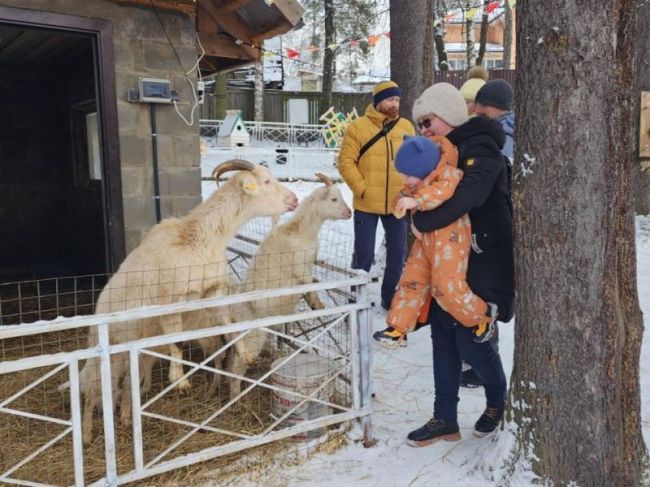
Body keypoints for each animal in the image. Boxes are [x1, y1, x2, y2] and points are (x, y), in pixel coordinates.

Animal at [78, 160, 296, 446]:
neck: (200, 239)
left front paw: (246, 355)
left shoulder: (213, 293)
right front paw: (179, 381)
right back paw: (86, 434)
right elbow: (178, 342)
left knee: (127, 386)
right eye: (267, 181)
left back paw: (125, 418)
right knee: (93, 391)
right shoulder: (171, 300)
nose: (294, 200)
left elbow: (229, 326)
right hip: (104, 351)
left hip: (136, 353)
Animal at [227, 173, 350, 398]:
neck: (300, 231)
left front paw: (313, 304)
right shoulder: (301, 269)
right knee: (237, 368)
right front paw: (318, 305)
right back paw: (235, 397)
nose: (349, 212)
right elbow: (309, 284)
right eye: (333, 199)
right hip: (253, 338)